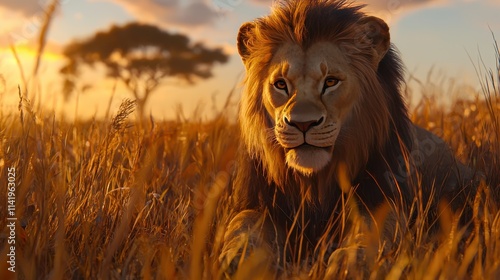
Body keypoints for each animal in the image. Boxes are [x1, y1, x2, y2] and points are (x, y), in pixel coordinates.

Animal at [218, 0, 472, 274]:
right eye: (281, 84)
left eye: (330, 82)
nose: (302, 123)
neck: (314, 182)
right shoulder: (256, 202)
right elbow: (242, 229)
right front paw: (237, 262)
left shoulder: (380, 197)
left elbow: (372, 232)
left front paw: (349, 263)